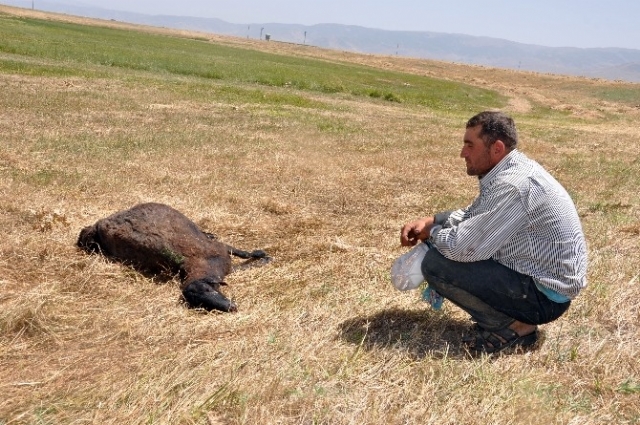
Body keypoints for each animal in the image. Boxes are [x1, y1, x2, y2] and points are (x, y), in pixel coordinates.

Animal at [76, 202, 272, 312]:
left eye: (208, 289)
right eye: (201, 304)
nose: (231, 308)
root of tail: (98, 225)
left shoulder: (220, 250)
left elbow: (244, 254)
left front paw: (262, 255)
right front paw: (263, 258)